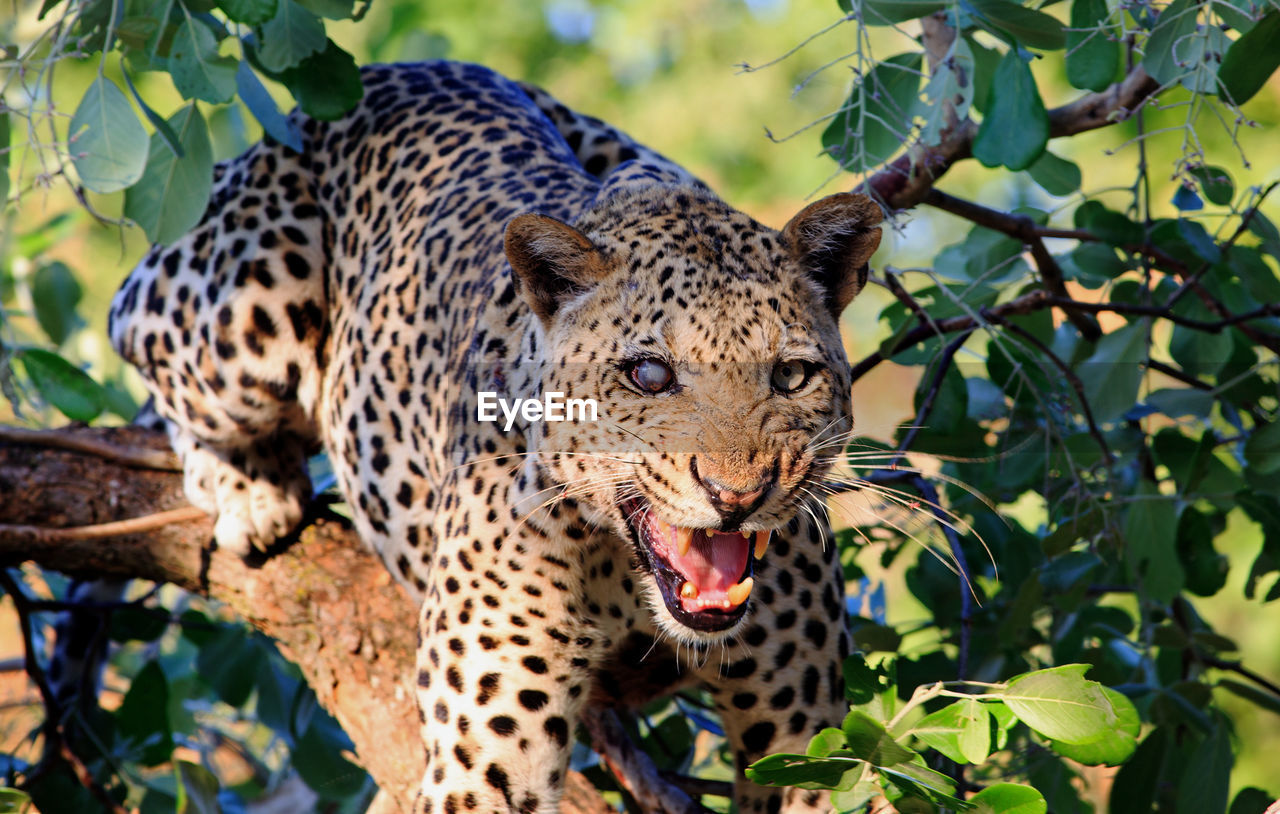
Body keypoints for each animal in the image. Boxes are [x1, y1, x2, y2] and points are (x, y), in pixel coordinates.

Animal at [110, 60, 880, 808]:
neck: (623, 574)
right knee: (134, 322)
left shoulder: (805, 732)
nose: (737, 495)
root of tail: (398, 70)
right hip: (239, 322)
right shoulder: (486, 750)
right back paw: (249, 488)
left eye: (791, 376)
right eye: (649, 374)